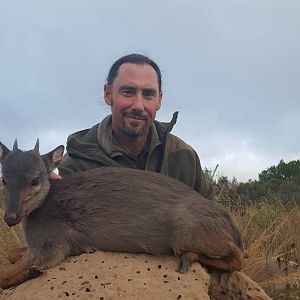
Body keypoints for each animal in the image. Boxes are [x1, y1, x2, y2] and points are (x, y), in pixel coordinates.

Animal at [0, 139, 244, 290]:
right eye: (4, 178)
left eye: (35, 179)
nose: (11, 217)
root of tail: (231, 225)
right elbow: (12, 253)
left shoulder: (52, 245)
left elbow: (4, 277)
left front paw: (32, 272)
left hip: (188, 233)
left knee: (237, 258)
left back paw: (190, 257)